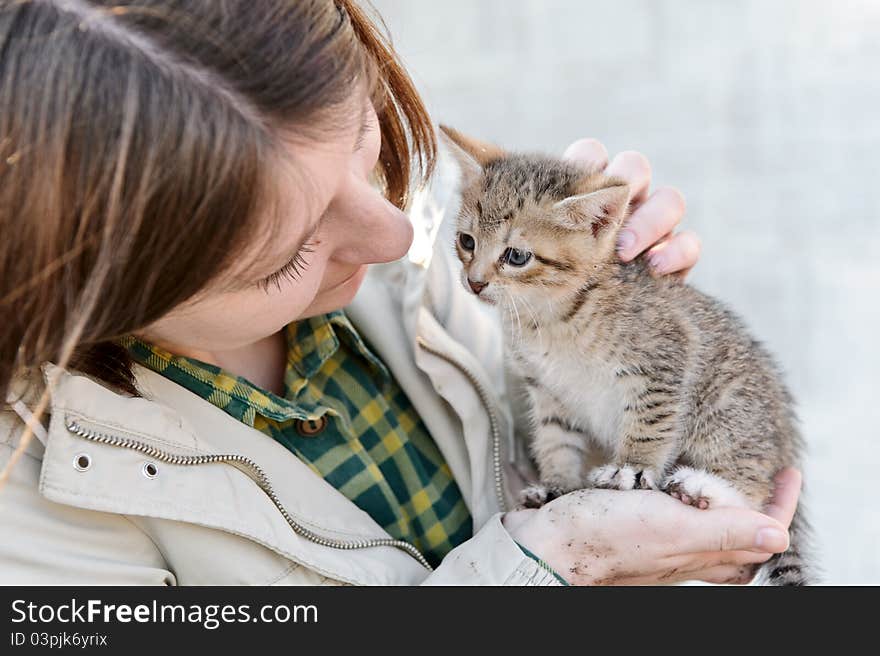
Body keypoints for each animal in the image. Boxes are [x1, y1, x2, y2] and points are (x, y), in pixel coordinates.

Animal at [444, 125, 816, 588]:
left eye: (516, 256)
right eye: (467, 241)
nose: (474, 282)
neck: (549, 317)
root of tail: (787, 439)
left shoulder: (666, 354)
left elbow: (650, 421)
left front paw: (631, 468)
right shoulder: (547, 389)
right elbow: (555, 438)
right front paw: (557, 486)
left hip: (728, 413)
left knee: (756, 490)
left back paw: (702, 487)